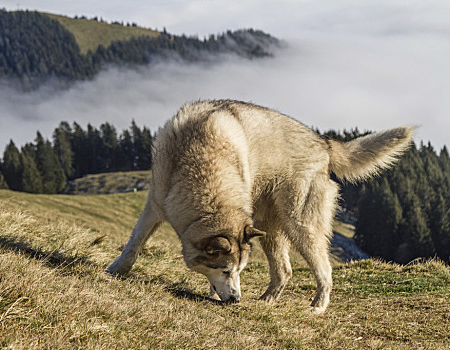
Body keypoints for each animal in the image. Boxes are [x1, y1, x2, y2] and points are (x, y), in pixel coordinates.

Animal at [106, 100, 414, 314]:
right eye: (226, 271)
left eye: (239, 271)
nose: (236, 300)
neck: (200, 157)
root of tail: (324, 143)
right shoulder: (155, 204)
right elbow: (134, 244)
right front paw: (116, 270)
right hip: (269, 229)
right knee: (285, 271)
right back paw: (267, 300)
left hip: (299, 225)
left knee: (324, 269)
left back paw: (318, 305)